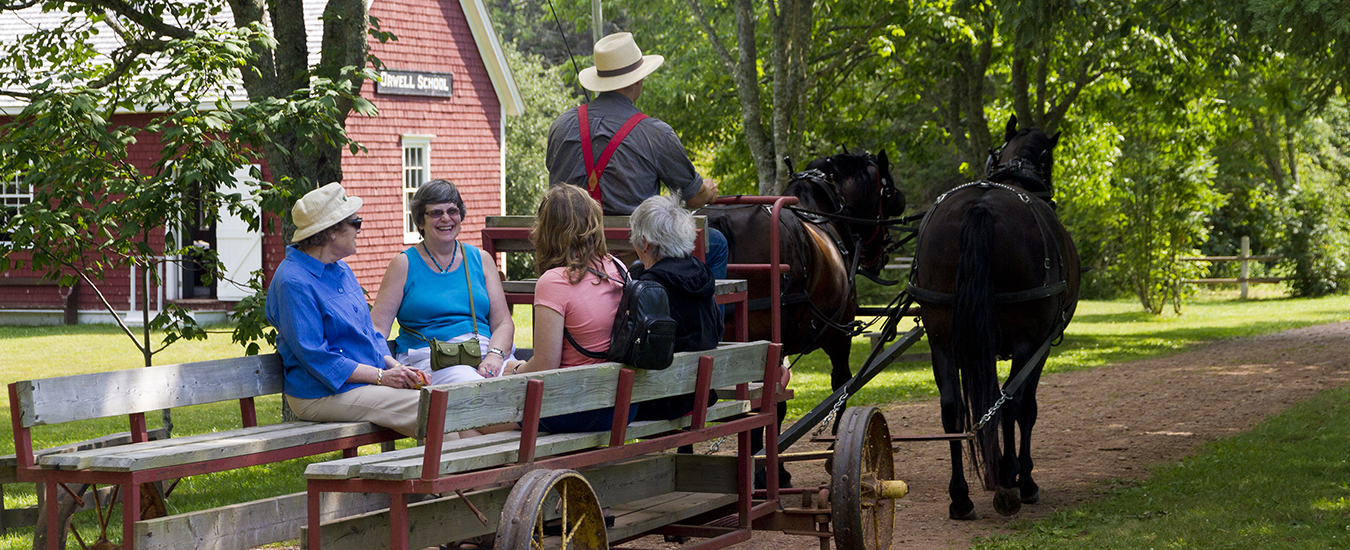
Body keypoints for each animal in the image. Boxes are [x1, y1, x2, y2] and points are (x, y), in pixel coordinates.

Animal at [907, 116, 1080, 520]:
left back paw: (960, 496)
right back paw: (1012, 484)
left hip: (942, 338)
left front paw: (999, 467)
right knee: (1014, 404)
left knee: (952, 409)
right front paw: (1019, 475)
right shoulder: (1038, 344)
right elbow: (1022, 408)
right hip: (1025, 339)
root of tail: (980, 207)